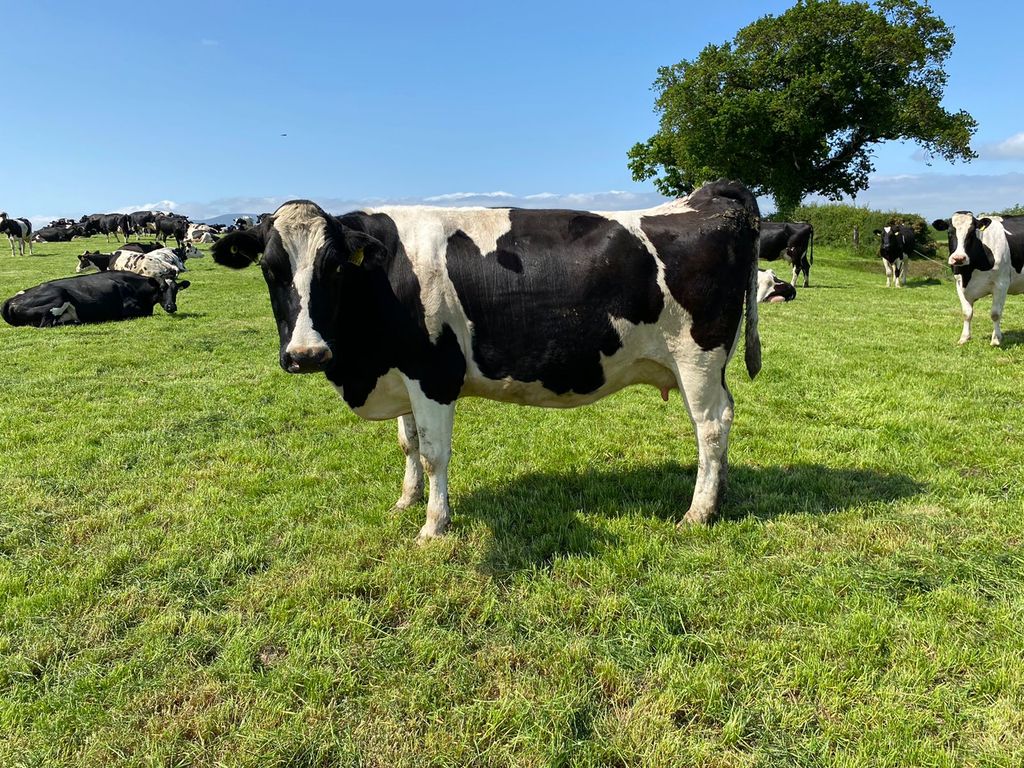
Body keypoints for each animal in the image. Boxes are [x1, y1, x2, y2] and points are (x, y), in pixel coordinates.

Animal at [2, 272, 189, 328]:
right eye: (162, 289)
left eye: (176, 290)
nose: (171, 306)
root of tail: (11, 299)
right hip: (58, 295)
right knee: (46, 324)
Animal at [211, 181, 762, 542]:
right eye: (269, 268)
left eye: (333, 268)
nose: (306, 354)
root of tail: (707, 195)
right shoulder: (402, 374)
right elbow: (409, 444)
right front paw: (405, 502)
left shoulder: (432, 374)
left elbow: (434, 454)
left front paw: (433, 526)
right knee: (721, 425)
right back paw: (720, 494)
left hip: (697, 357)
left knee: (711, 424)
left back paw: (699, 511)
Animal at [932, 213, 1024, 346]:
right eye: (949, 232)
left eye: (971, 233)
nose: (959, 258)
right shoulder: (959, 284)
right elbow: (967, 313)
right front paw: (964, 338)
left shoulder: (1001, 284)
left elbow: (995, 314)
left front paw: (996, 339)